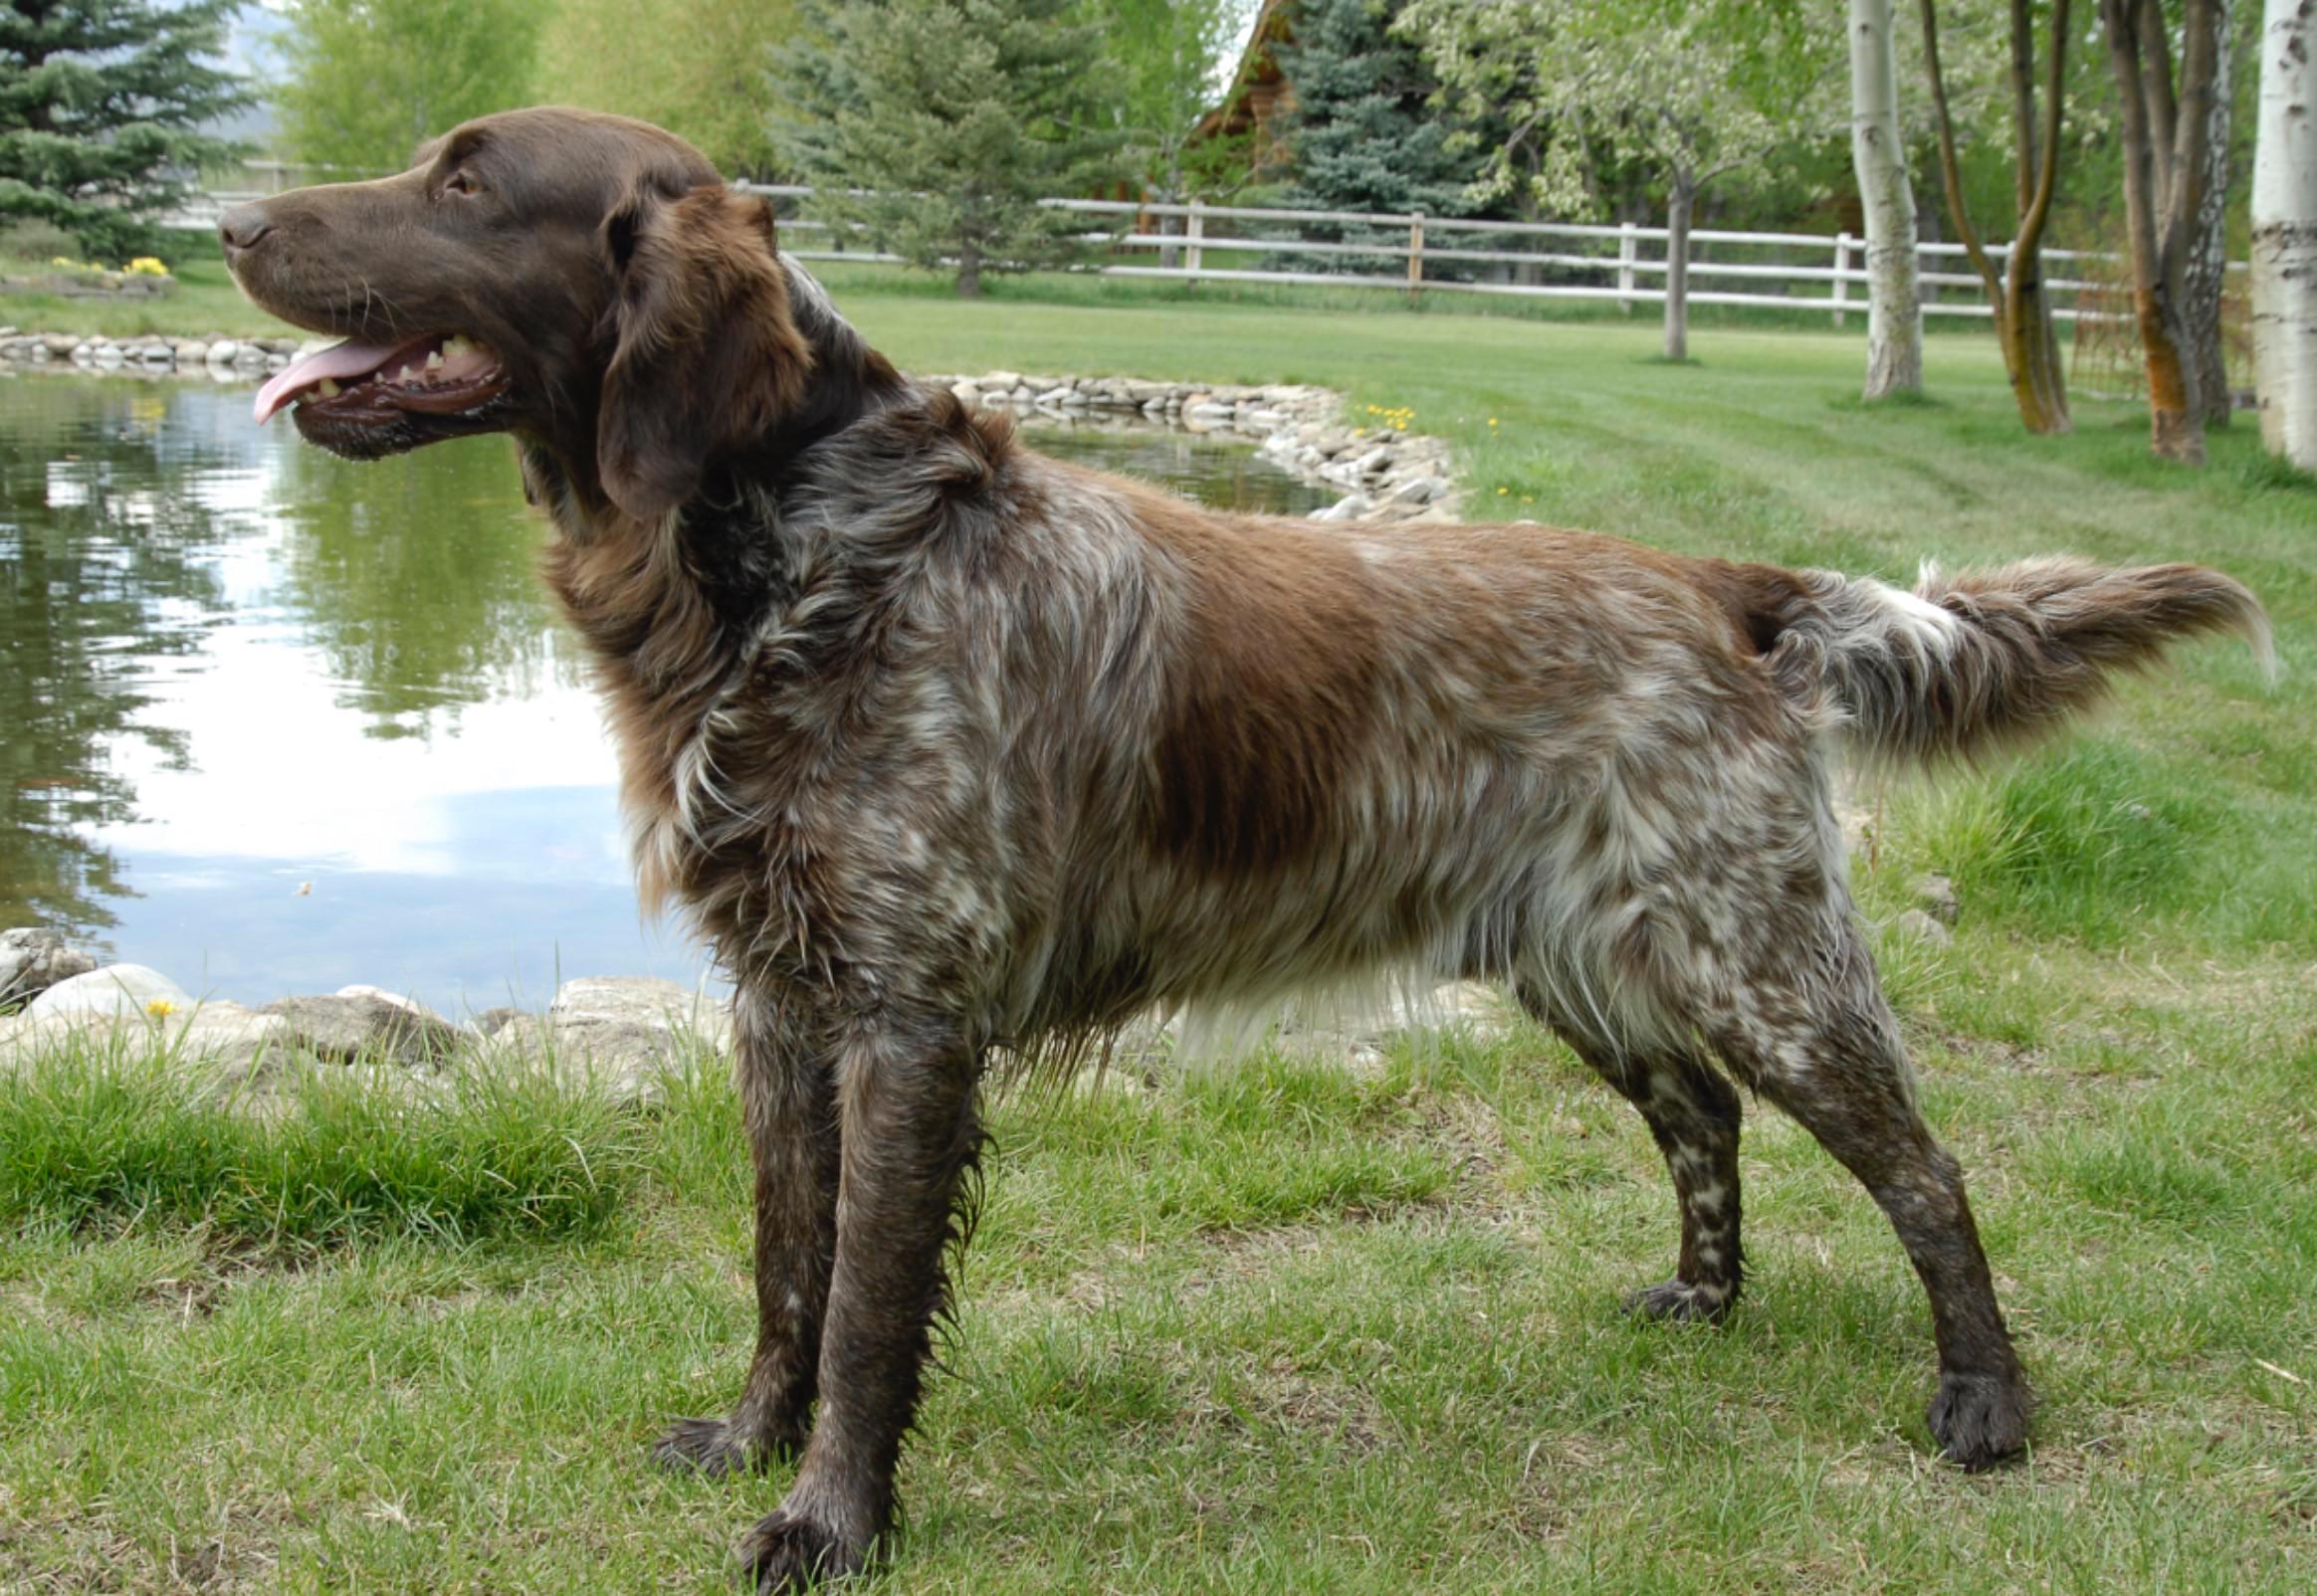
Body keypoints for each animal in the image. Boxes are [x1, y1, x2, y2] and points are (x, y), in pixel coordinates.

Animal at [225, 108, 2270, 1584]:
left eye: (467, 182)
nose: (237, 217)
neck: (792, 557)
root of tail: (1724, 582)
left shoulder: (908, 1022)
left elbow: (869, 1307)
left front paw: (829, 1517)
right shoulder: (779, 1007)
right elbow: (783, 1272)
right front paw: (746, 1440)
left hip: (1758, 956)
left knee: (1924, 1168)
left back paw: (1984, 1399)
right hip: (1579, 960)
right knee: (1701, 1117)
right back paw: (1702, 1295)